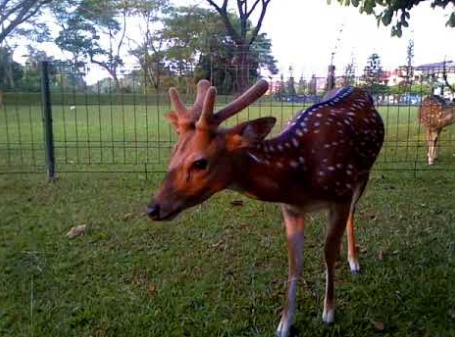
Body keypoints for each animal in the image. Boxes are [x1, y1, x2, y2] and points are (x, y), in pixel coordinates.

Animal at [147, 79, 384, 336]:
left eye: (200, 162)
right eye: (173, 152)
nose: (153, 208)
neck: (299, 174)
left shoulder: (340, 195)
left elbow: (329, 252)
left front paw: (329, 313)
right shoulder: (290, 208)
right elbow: (294, 262)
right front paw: (284, 324)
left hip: (363, 174)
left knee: (353, 211)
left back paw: (354, 261)